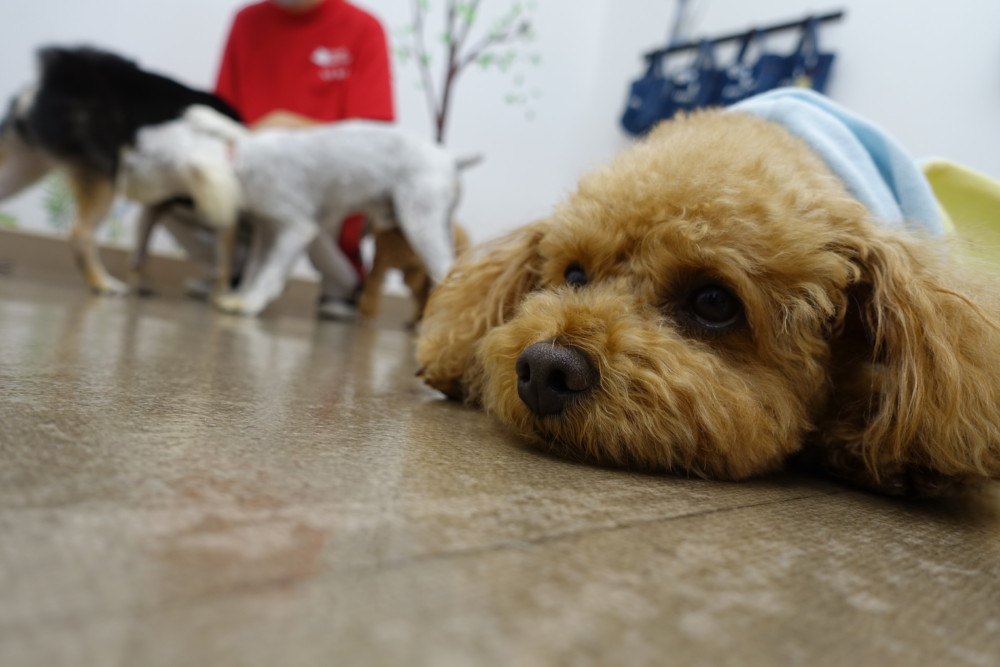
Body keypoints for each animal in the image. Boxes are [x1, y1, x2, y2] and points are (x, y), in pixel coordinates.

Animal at [0, 46, 242, 295]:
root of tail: (55, 73)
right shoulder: (225, 202)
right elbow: (224, 257)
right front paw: (223, 293)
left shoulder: (158, 204)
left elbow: (141, 249)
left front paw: (141, 280)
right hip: (107, 178)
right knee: (80, 233)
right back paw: (103, 282)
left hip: (22, 169)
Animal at [123, 106, 474, 317]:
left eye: (146, 156)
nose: (122, 162)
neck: (239, 162)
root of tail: (449, 158)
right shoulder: (266, 229)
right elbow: (255, 267)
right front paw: (239, 295)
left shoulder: (295, 226)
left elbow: (270, 271)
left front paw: (250, 303)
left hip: (421, 222)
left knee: (447, 272)